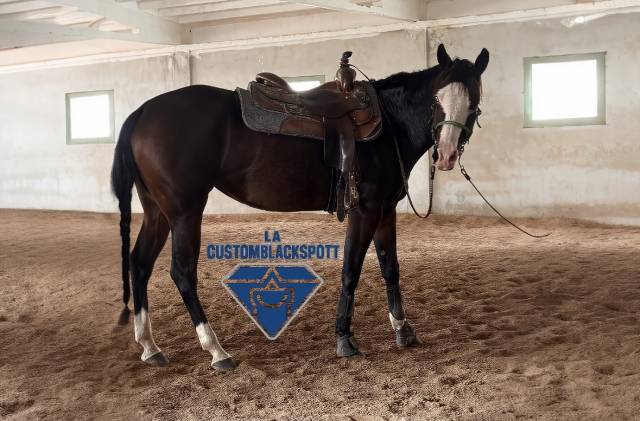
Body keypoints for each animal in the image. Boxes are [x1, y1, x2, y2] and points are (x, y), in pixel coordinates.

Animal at [111, 44, 489, 370]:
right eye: (436, 99)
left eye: (473, 103)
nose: (446, 155)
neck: (389, 126)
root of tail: (141, 113)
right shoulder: (365, 210)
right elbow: (351, 270)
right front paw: (344, 339)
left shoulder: (386, 210)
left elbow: (390, 268)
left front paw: (403, 330)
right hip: (185, 211)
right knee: (182, 272)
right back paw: (216, 350)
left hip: (158, 211)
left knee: (140, 263)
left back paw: (150, 346)